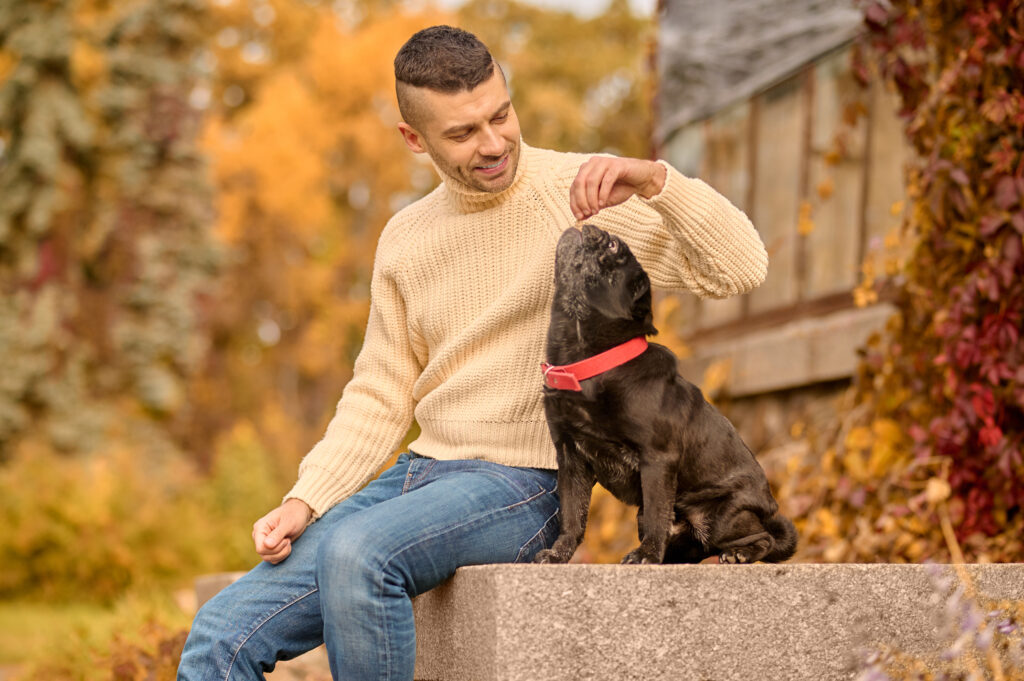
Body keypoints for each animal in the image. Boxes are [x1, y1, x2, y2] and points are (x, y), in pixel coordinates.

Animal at [532, 223, 794, 561]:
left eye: (614, 247)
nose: (595, 227)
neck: (589, 365)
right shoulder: (571, 459)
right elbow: (572, 517)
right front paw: (558, 554)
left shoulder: (657, 460)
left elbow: (658, 514)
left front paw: (645, 555)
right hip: (654, 520)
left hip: (720, 518)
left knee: (765, 539)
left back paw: (740, 554)